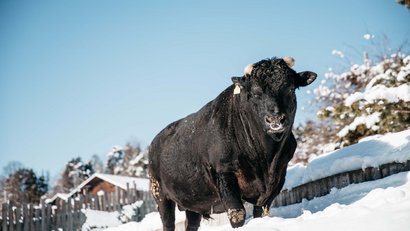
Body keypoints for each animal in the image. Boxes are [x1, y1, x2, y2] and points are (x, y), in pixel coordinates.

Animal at [148, 56, 318, 230]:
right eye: (255, 93)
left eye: (291, 89)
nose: (275, 119)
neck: (266, 158)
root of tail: (155, 141)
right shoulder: (224, 172)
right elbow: (237, 213)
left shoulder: (278, 177)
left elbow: (261, 212)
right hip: (160, 194)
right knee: (168, 222)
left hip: (193, 201)